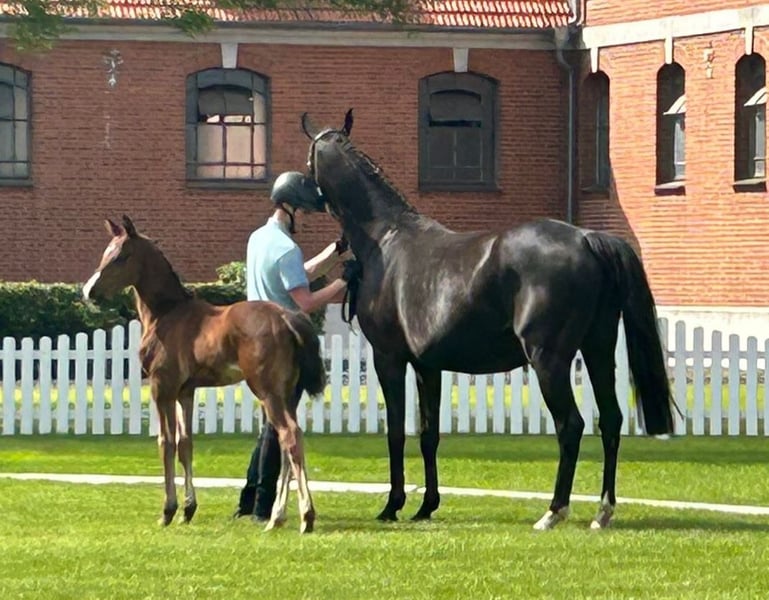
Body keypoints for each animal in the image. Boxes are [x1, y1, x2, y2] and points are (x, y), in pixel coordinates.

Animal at [83, 216, 324, 533]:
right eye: (105, 252)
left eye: (122, 256)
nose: (88, 291)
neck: (167, 314)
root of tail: (287, 317)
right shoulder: (185, 391)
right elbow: (186, 444)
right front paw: (188, 509)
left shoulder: (162, 387)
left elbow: (166, 443)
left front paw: (167, 511)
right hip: (288, 394)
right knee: (286, 443)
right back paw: (276, 517)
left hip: (268, 391)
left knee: (290, 436)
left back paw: (305, 517)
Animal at [301, 109, 677, 530]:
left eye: (309, 159)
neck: (386, 239)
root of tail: (586, 238)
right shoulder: (428, 366)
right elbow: (429, 433)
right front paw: (426, 506)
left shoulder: (389, 358)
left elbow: (396, 432)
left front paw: (392, 505)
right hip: (598, 350)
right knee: (610, 420)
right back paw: (602, 511)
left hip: (549, 361)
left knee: (571, 426)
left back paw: (553, 511)